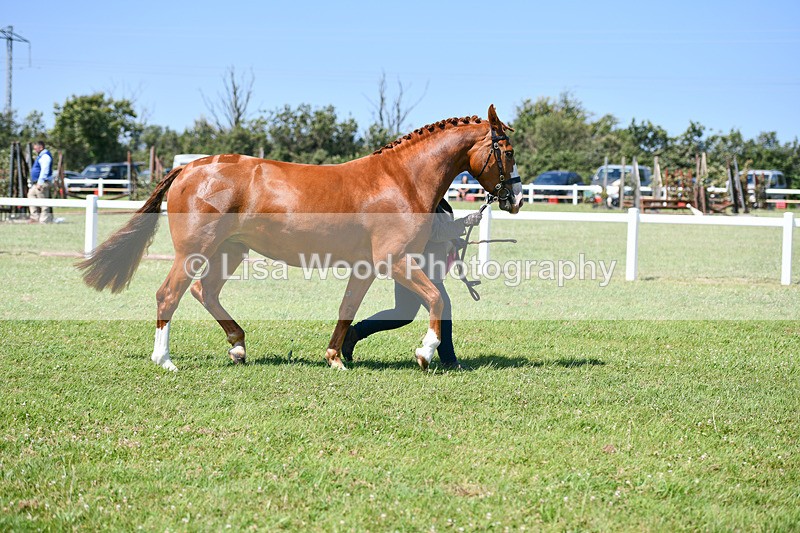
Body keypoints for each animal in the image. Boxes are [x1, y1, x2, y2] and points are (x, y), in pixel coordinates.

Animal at [77, 105, 523, 372]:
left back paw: (238, 346)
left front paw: (336, 358)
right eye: (508, 151)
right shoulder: (395, 261)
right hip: (195, 252)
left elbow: (347, 309)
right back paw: (165, 359)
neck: (400, 180)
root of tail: (191, 168)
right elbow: (434, 299)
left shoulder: (366, 268)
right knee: (169, 294)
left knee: (206, 292)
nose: (515, 199)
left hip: (230, 251)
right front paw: (425, 351)